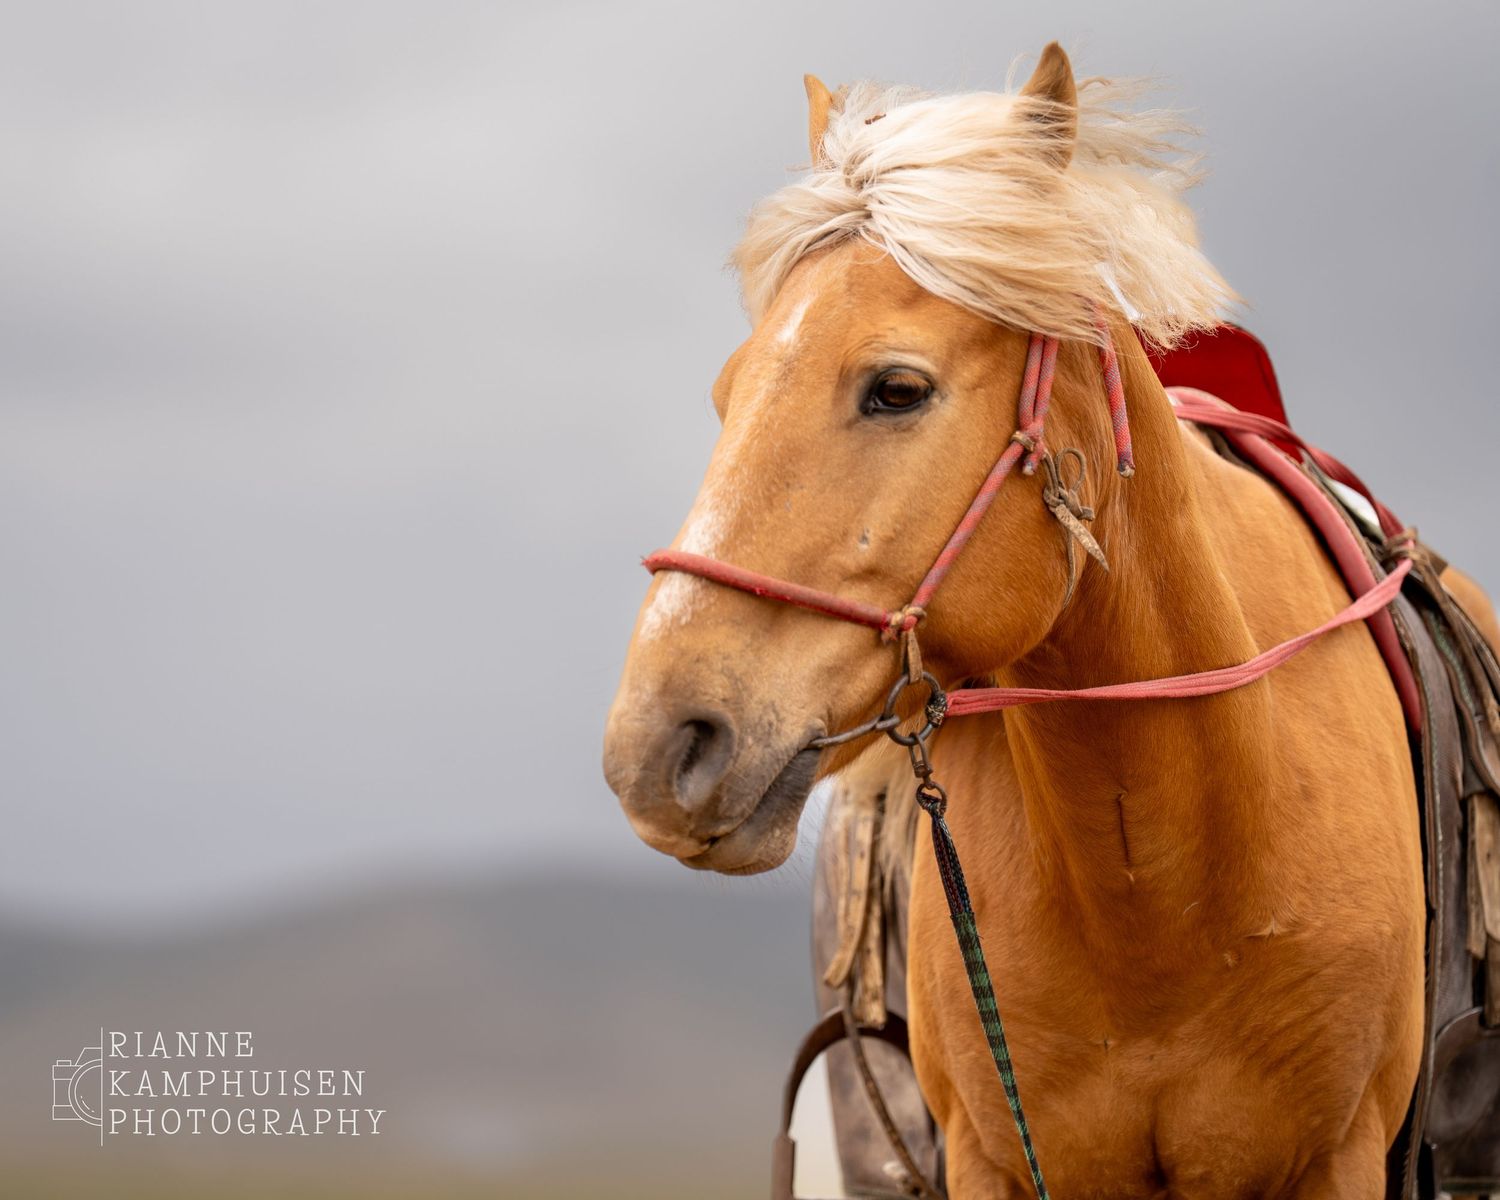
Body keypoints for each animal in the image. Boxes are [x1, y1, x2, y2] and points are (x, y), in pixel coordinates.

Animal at [601, 43, 1500, 1198]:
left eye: (897, 387)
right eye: (728, 393)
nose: (658, 747)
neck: (1159, 888)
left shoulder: (1332, 1163)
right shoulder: (997, 1160)